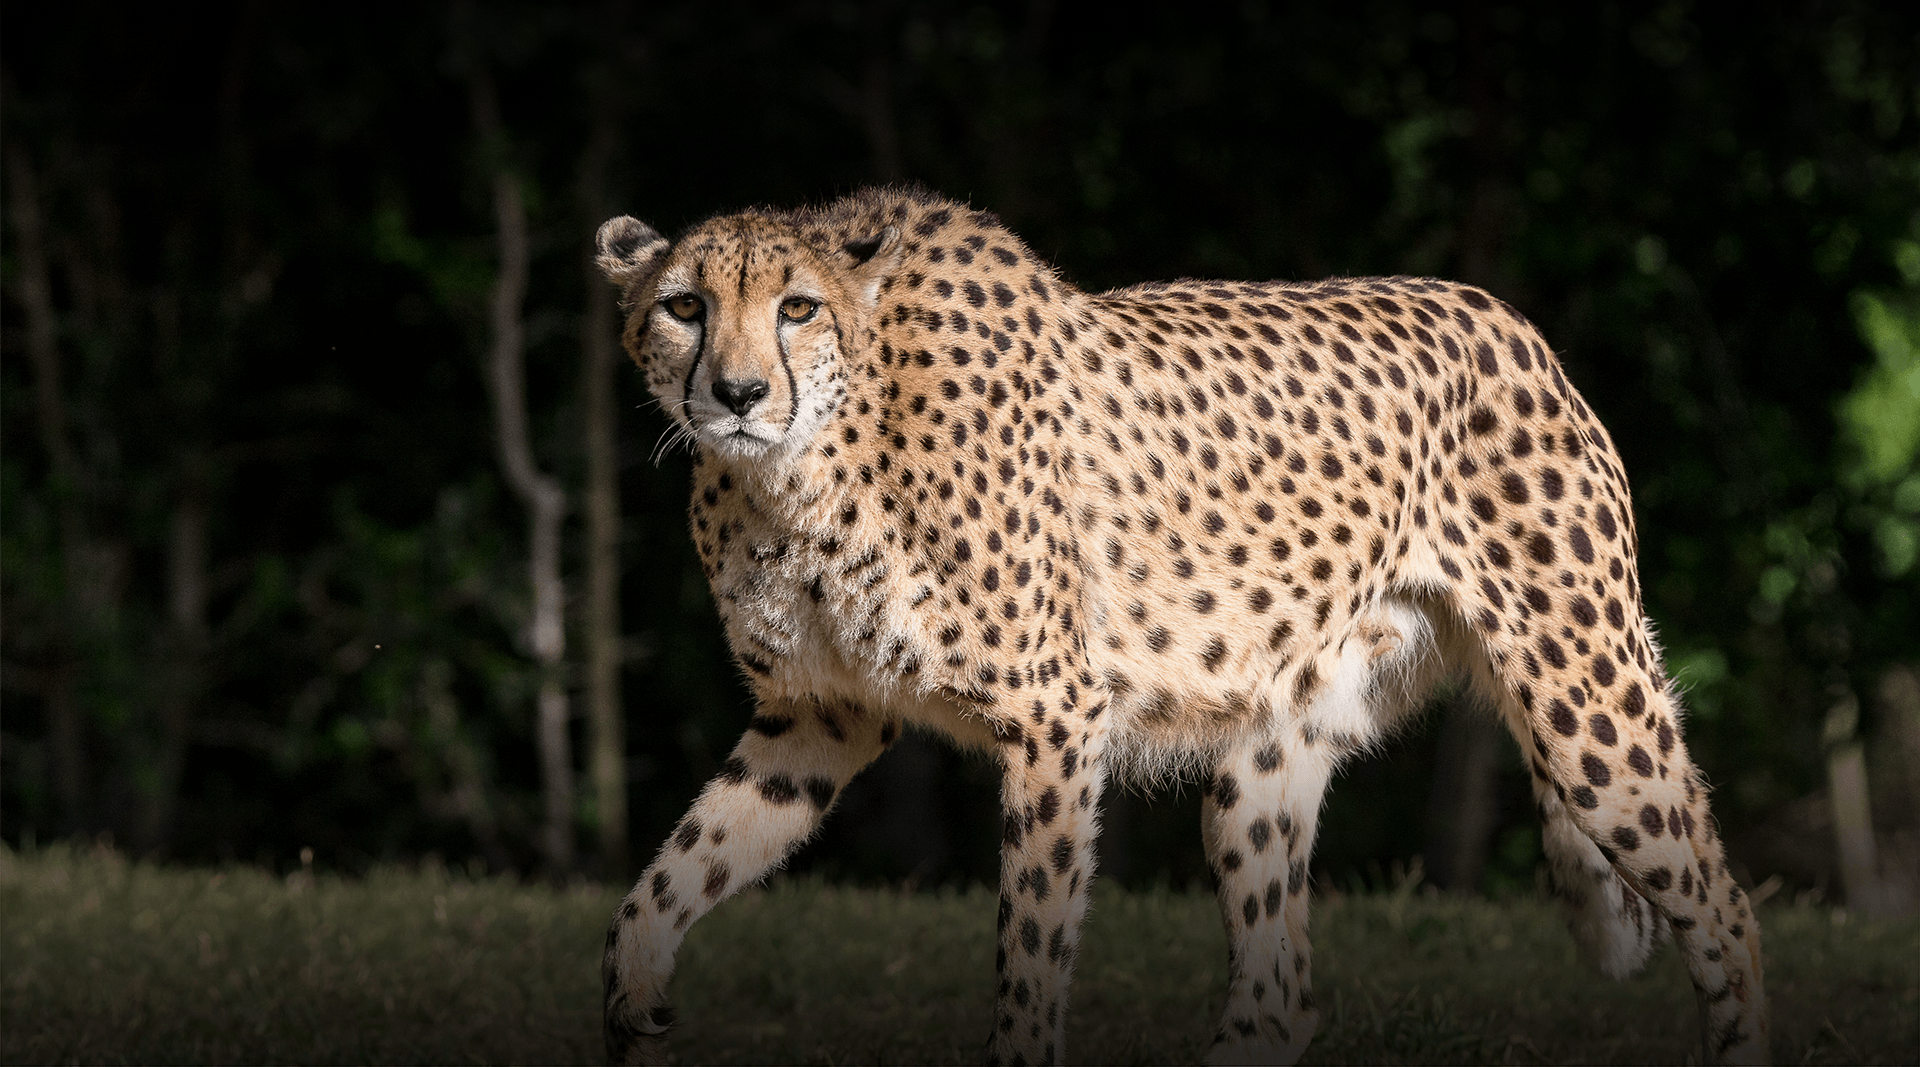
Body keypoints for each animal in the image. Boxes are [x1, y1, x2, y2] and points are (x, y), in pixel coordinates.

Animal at [591, 186, 1769, 1066]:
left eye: (796, 307)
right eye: (684, 305)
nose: (738, 392)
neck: (806, 462)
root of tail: (1505, 317)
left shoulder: (1055, 719)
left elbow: (1031, 949)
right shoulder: (820, 715)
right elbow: (674, 872)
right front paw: (633, 996)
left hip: (1587, 709)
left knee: (1731, 917)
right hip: (1263, 757)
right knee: (1280, 992)